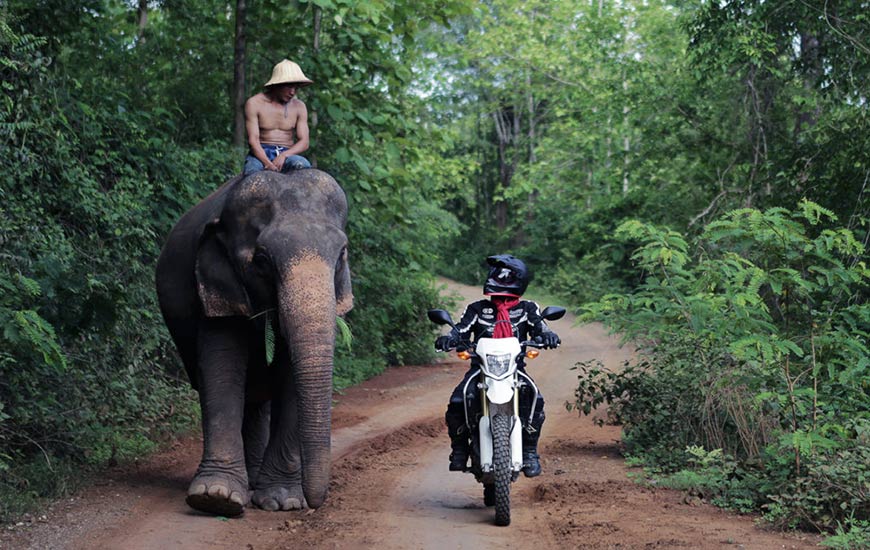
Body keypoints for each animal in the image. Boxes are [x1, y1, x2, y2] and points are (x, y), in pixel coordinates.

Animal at [155, 169, 352, 516]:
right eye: (261, 260)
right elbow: (222, 368)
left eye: (341, 256)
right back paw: (245, 485)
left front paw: (283, 501)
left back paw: (257, 483)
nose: (315, 505)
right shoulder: (217, 286)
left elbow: (289, 378)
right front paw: (215, 498)